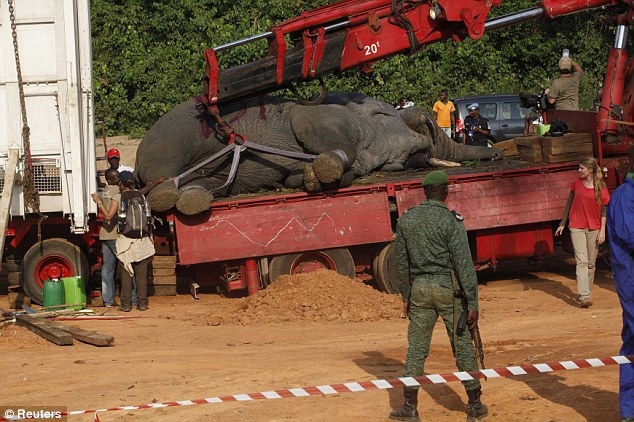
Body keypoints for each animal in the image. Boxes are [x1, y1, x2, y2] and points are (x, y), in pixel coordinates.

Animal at [136, 90, 502, 213]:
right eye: (425, 125)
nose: (498, 154)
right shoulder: (330, 114)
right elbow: (309, 124)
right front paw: (324, 167)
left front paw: (309, 178)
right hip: (173, 135)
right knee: (161, 177)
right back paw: (167, 193)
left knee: (204, 185)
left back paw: (194, 197)